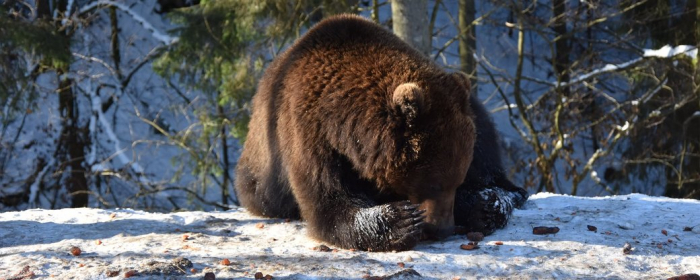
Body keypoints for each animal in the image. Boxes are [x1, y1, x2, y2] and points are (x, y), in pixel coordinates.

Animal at [235, 13, 524, 252]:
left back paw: (489, 204)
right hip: (260, 179)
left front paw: (478, 204)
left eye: (457, 179)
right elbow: (327, 199)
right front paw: (401, 220)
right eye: (434, 183)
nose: (443, 228)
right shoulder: (308, 131)